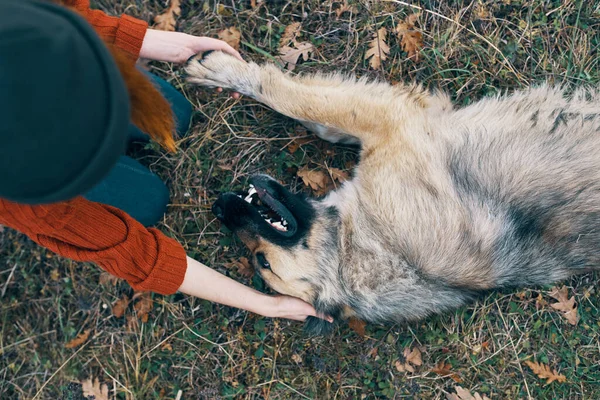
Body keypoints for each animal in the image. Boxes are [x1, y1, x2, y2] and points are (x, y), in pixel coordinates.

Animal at [185, 50, 600, 334]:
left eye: (263, 261)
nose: (219, 207)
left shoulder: (392, 122)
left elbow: (294, 100)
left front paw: (223, 71)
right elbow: (313, 114)